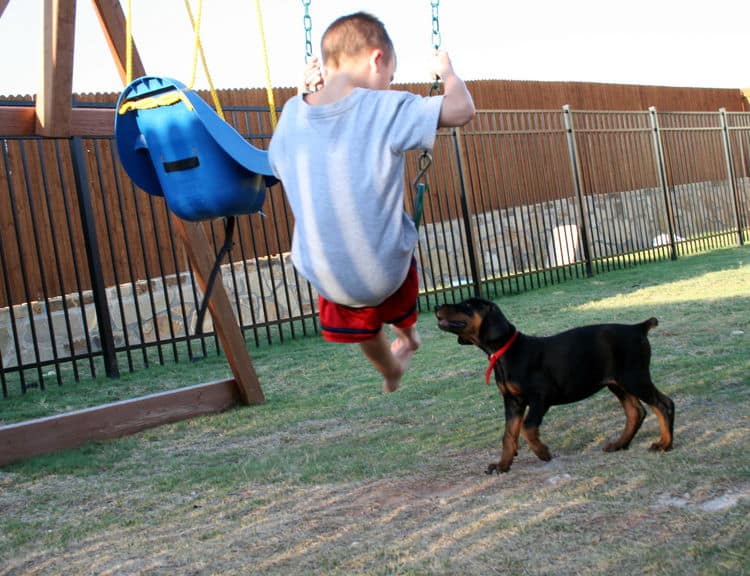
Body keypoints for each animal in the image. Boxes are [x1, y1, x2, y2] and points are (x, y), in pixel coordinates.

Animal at [434, 296, 676, 472]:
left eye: (467, 305)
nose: (436, 306)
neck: (506, 352)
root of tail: (638, 328)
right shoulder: (512, 402)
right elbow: (508, 435)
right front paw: (503, 465)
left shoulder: (541, 397)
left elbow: (527, 427)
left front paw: (542, 452)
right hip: (618, 383)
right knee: (636, 412)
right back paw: (619, 444)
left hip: (634, 378)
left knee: (664, 404)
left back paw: (664, 444)